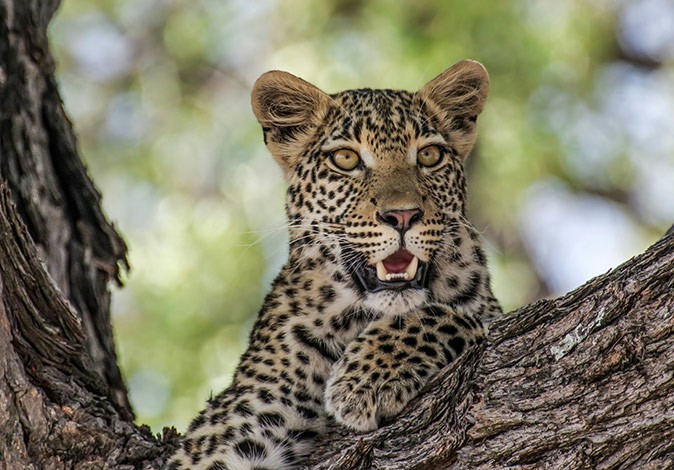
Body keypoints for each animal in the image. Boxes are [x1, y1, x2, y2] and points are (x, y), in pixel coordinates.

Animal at [168, 59, 502, 470]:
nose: (403, 215)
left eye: (429, 156)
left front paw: (365, 380)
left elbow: (455, 316)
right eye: (346, 159)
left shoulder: (486, 310)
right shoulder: (241, 421)